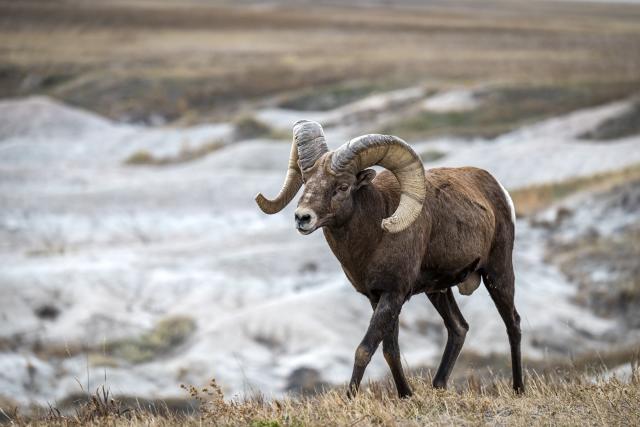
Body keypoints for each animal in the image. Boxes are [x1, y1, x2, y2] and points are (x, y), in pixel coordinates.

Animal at [255, 120, 523, 398]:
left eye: (342, 187)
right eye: (306, 181)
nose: (302, 218)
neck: (374, 238)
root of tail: (498, 189)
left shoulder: (393, 295)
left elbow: (365, 350)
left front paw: (351, 398)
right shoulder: (377, 298)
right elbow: (390, 351)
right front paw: (406, 395)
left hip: (497, 273)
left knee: (513, 324)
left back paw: (518, 389)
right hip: (438, 291)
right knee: (458, 328)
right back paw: (438, 385)